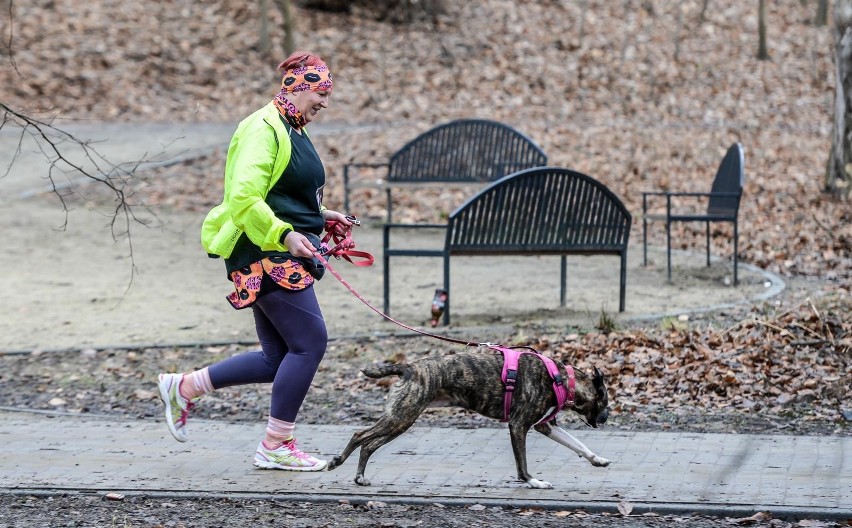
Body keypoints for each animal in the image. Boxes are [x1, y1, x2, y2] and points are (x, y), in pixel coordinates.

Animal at [326, 350, 612, 490]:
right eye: (606, 401)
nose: (608, 417)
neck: (561, 379)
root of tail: (409, 368)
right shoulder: (518, 426)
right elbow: (522, 465)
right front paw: (534, 482)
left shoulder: (545, 426)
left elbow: (578, 444)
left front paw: (597, 458)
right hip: (400, 417)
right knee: (360, 436)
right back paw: (337, 461)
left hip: (401, 421)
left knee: (369, 444)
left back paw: (360, 477)